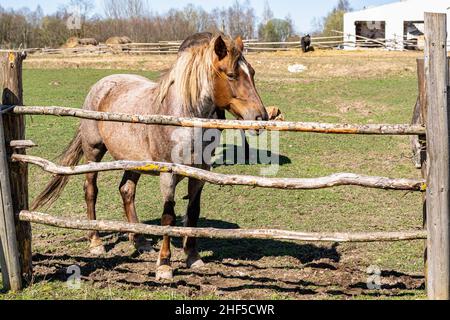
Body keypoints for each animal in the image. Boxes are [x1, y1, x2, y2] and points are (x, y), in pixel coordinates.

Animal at [34, 34, 270, 280]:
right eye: (231, 74)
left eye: (252, 72)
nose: (261, 117)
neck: (183, 118)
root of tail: (101, 85)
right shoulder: (168, 174)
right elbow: (168, 217)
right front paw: (164, 265)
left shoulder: (200, 173)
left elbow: (192, 213)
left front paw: (192, 256)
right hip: (93, 152)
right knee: (91, 191)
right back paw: (96, 242)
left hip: (133, 161)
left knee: (126, 191)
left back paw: (140, 241)